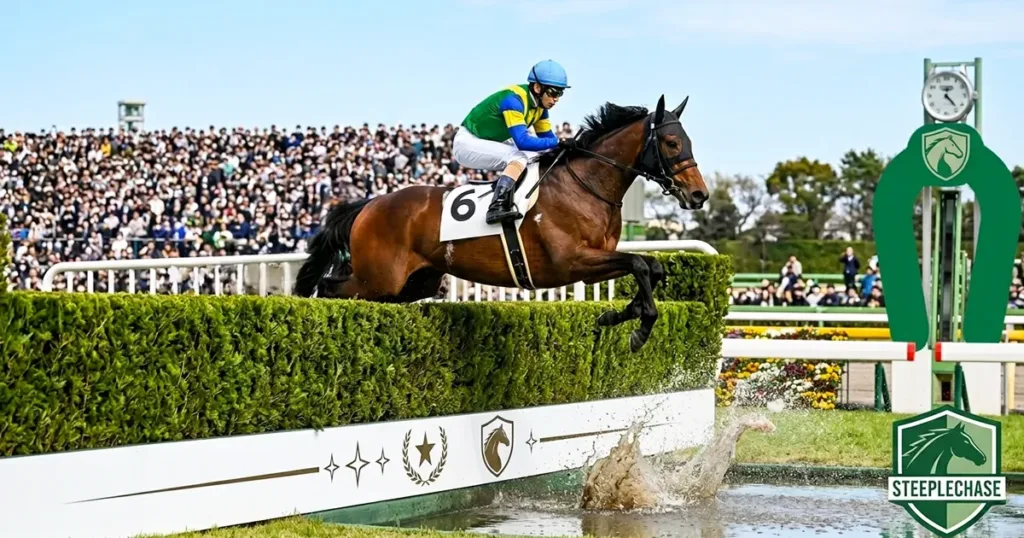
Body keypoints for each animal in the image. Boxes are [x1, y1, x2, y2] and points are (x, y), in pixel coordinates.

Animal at [293, 94, 709, 352]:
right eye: (672, 143)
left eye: (689, 141)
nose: (699, 195)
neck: (586, 185)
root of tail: (371, 203)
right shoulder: (571, 261)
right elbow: (639, 263)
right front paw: (640, 327)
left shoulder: (595, 260)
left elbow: (650, 267)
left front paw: (620, 314)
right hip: (379, 278)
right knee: (329, 287)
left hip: (412, 282)